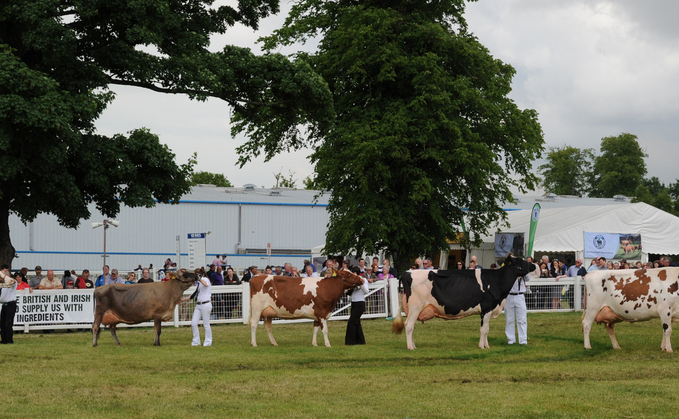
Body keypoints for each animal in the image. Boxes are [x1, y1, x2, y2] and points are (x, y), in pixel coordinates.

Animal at [394, 256, 536, 352]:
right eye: (521, 261)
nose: (534, 265)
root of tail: (406, 272)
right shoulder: (486, 308)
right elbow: (484, 329)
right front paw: (482, 346)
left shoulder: (488, 310)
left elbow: (486, 329)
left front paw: (486, 345)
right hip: (415, 307)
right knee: (409, 325)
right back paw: (410, 347)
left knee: (411, 326)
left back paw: (413, 345)